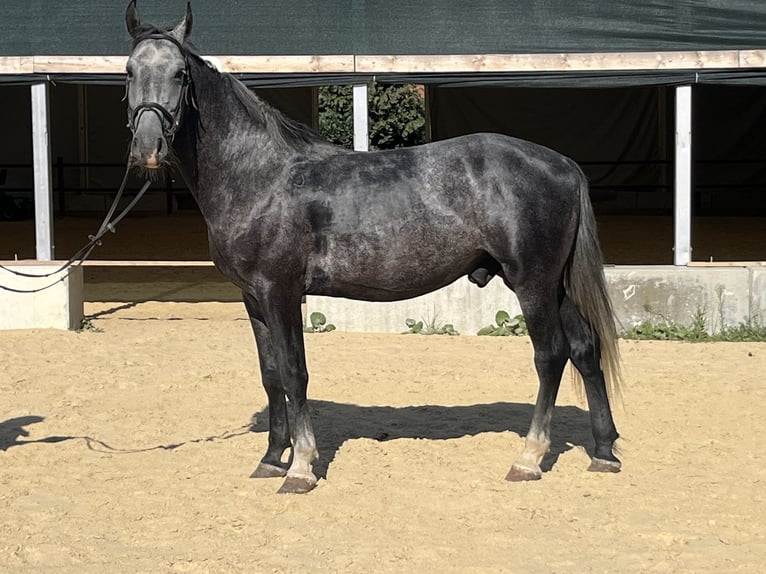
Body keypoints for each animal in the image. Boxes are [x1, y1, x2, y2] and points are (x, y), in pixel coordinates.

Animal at [124, 1, 622, 494]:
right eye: (129, 71)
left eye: (180, 74)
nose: (148, 147)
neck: (260, 175)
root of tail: (562, 163)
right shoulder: (252, 297)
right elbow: (270, 375)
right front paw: (270, 458)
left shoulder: (280, 292)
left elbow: (294, 372)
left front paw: (301, 467)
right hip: (556, 285)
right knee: (584, 348)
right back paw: (603, 451)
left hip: (532, 283)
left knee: (551, 355)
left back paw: (529, 458)